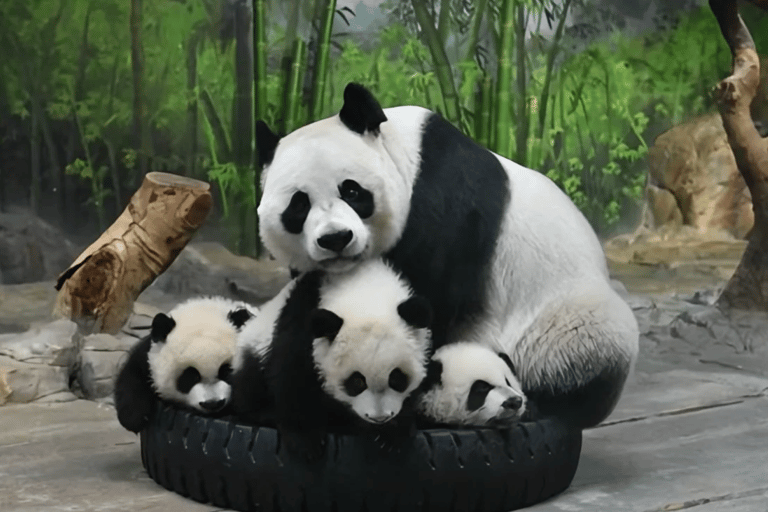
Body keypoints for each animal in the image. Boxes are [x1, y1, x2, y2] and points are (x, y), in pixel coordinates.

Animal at [114, 296, 257, 433]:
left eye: (226, 371)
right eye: (191, 376)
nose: (213, 404)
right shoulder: (150, 355)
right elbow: (133, 373)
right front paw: (133, 418)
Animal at [231, 259, 432, 459]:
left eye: (396, 378)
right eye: (357, 381)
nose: (380, 418)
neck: (361, 286)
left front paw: (391, 433)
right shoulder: (302, 320)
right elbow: (291, 373)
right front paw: (305, 441)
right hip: (254, 346)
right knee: (249, 382)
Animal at [254, 82, 639, 429]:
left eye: (352, 191)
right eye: (299, 205)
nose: (336, 239)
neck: (404, 155)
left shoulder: (446, 209)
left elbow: (428, 301)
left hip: (566, 325)